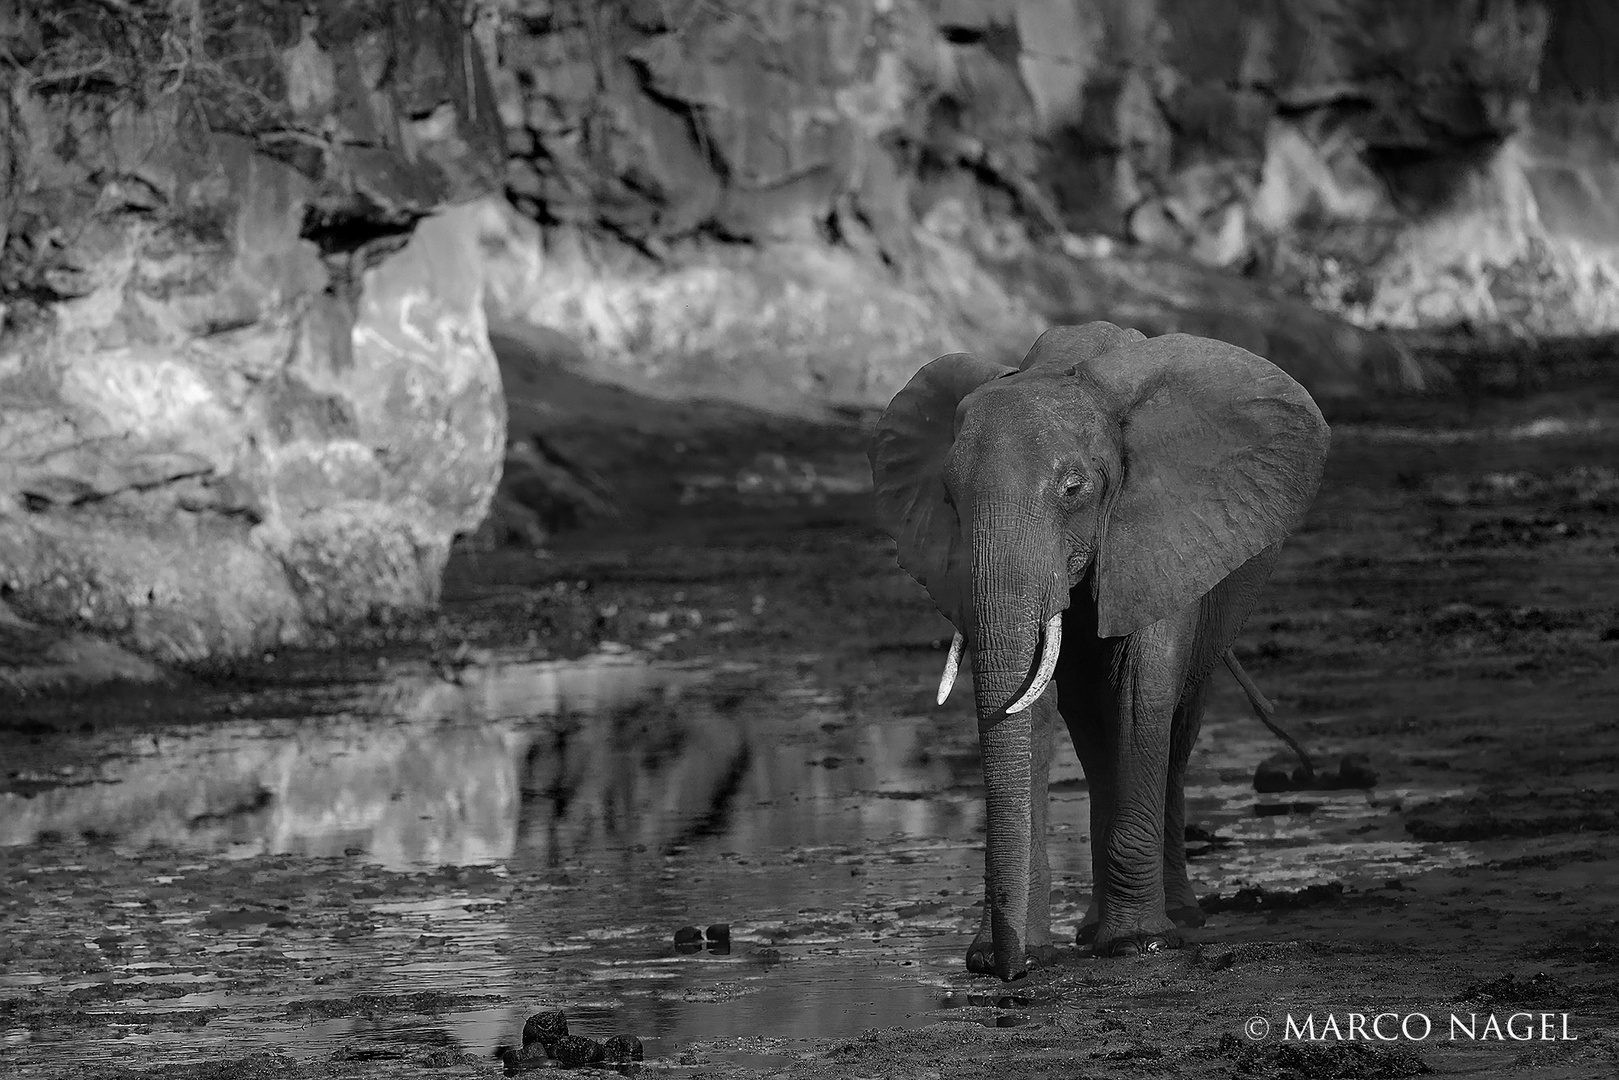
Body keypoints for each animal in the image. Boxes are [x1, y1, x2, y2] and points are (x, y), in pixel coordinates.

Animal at [874, 318, 1327, 977]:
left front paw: (1138, 945)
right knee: (1091, 728)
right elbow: (1029, 705)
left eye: (1073, 488)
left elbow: (1141, 693)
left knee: (1175, 726)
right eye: (950, 499)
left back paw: (1174, 920)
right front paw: (1021, 950)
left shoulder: (1162, 536)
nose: (1005, 972)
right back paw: (1095, 928)